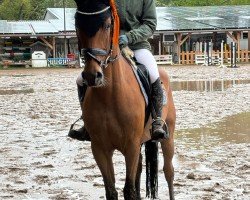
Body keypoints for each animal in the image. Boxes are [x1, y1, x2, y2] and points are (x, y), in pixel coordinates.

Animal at [73, 0, 177, 199]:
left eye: (107, 25)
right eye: (77, 24)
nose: (92, 76)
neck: (109, 95)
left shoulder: (131, 147)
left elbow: (129, 190)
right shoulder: (100, 149)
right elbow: (112, 190)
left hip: (167, 137)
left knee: (169, 172)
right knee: (140, 171)